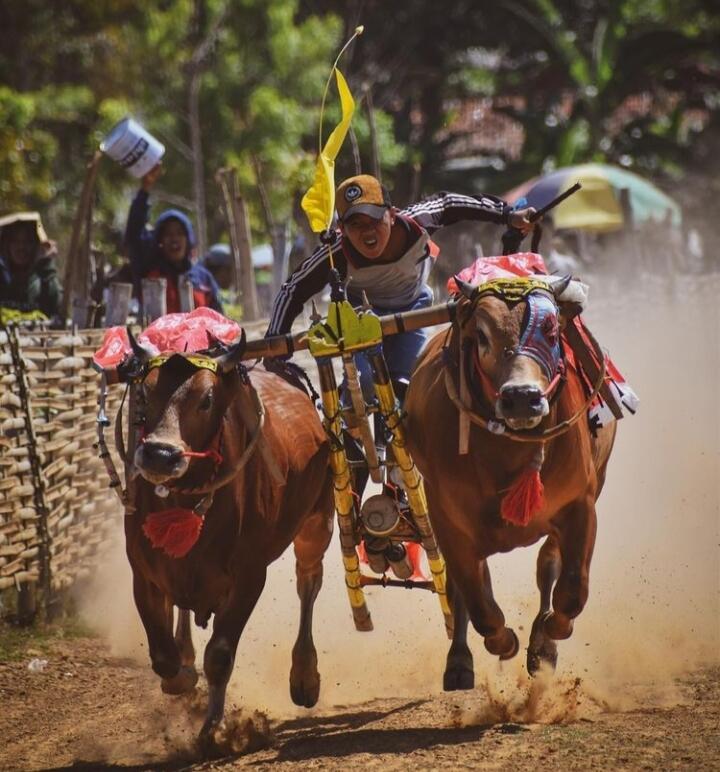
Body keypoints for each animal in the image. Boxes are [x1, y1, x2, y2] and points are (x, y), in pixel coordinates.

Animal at [124, 336, 334, 748]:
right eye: (143, 392)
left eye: (206, 400)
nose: (159, 454)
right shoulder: (144, 574)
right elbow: (162, 656)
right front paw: (182, 677)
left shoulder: (250, 576)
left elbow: (220, 654)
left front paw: (214, 728)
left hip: (317, 523)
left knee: (309, 584)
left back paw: (304, 674)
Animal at [408, 278, 616, 688]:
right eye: (482, 336)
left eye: (550, 330)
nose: (522, 398)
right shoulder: (448, 522)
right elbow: (477, 603)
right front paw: (503, 642)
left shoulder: (580, 505)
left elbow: (571, 590)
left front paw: (549, 637)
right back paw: (459, 660)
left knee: (547, 565)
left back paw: (542, 645)